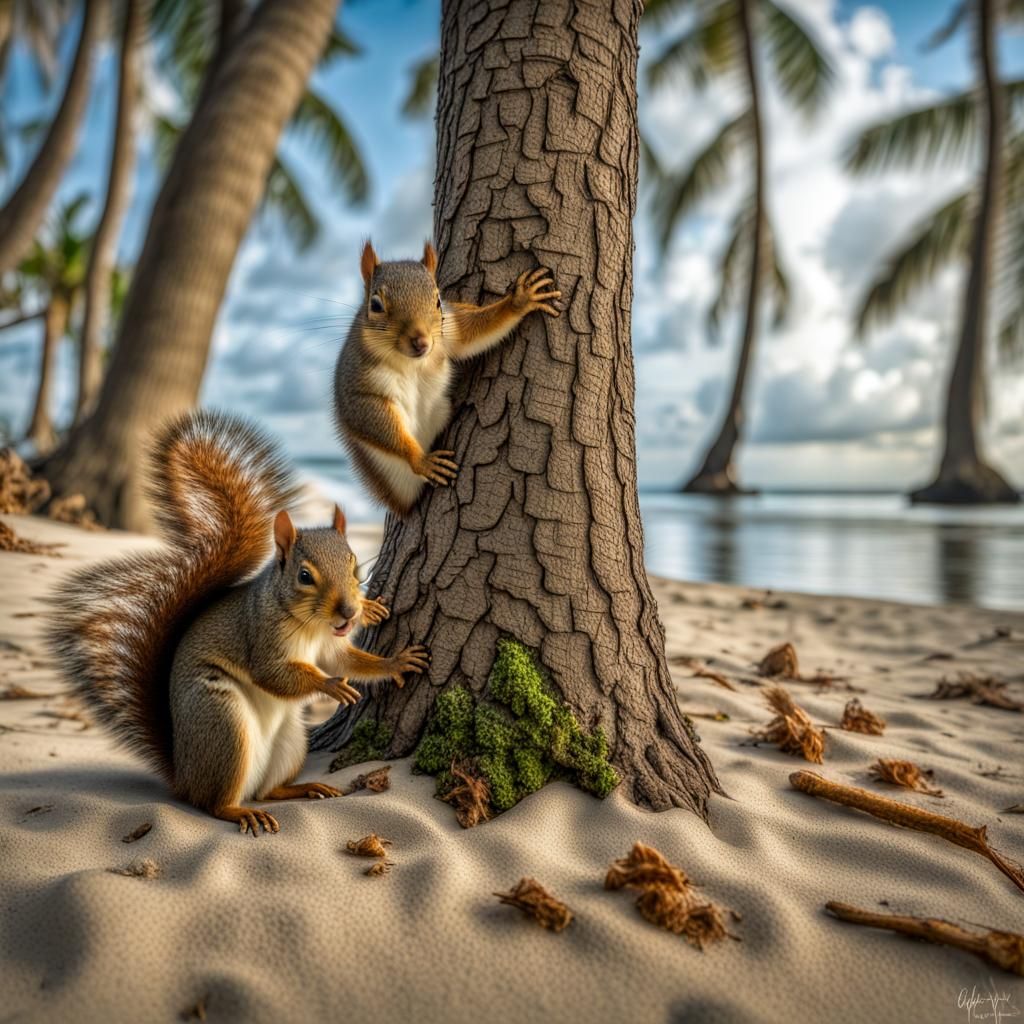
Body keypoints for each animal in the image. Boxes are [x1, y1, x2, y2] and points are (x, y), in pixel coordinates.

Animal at [51, 410, 429, 835]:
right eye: (304, 576)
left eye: (354, 565)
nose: (349, 612)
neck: (311, 627)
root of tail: (185, 776)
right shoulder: (261, 636)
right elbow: (274, 674)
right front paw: (331, 685)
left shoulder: (330, 644)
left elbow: (347, 660)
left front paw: (395, 661)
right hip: (223, 724)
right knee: (215, 803)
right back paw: (240, 811)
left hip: (289, 742)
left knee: (267, 790)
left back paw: (305, 788)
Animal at [333, 240, 560, 516]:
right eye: (375, 305)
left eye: (438, 301)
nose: (420, 341)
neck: (413, 362)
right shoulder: (358, 382)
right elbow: (368, 417)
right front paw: (422, 461)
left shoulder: (450, 328)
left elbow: (473, 333)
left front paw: (519, 300)